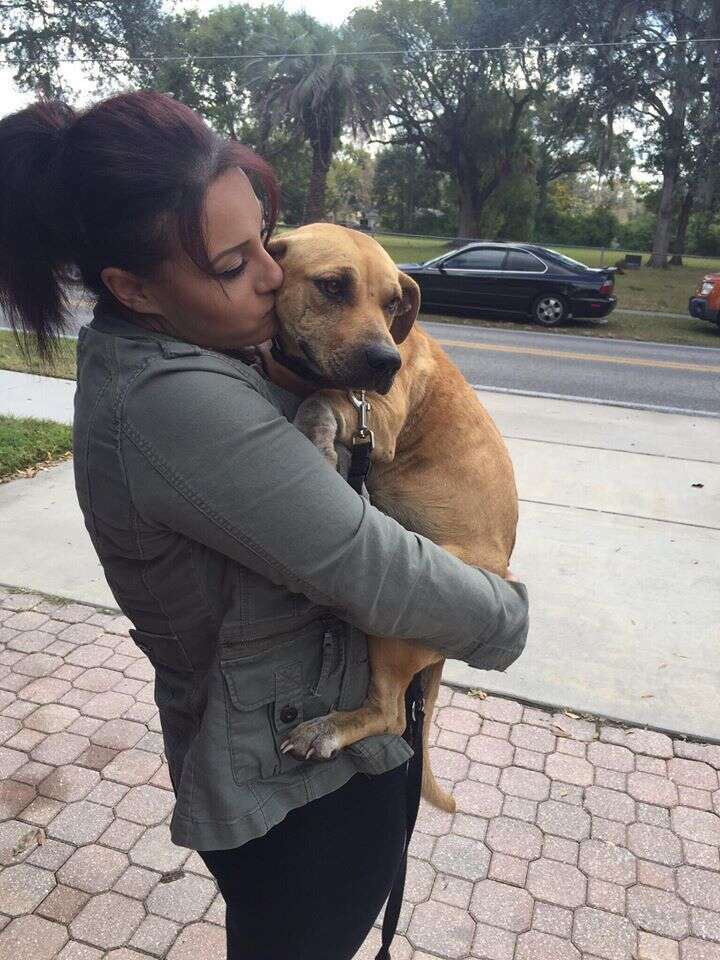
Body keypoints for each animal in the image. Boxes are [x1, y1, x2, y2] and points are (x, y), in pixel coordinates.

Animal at [268, 225, 516, 808]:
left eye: (393, 303)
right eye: (332, 286)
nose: (387, 362)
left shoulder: (374, 414)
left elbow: (322, 397)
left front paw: (316, 440)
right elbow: (322, 391)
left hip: (391, 624)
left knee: (388, 716)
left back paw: (326, 729)